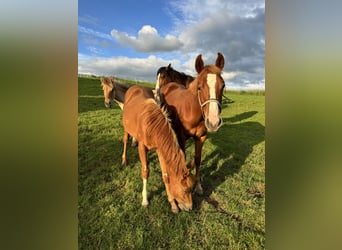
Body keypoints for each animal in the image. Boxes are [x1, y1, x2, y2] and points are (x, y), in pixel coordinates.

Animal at [121, 85, 194, 213]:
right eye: (186, 190)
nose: (190, 208)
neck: (152, 125)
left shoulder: (160, 150)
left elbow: (165, 175)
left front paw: (173, 204)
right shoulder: (142, 147)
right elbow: (145, 171)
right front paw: (145, 200)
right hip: (126, 127)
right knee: (125, 140)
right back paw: (124, 160)